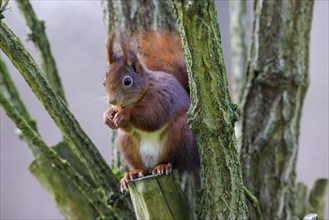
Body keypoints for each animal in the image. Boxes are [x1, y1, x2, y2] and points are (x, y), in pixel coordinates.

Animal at [102, 31, 200, 191]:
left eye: (127, 81)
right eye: (104, 82)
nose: (112, 101)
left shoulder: (160, 99)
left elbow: (150, 118)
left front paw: (124, 115)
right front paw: (108, 115)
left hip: (177, 136)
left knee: (174, 161)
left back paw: (163, 166)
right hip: (127, 143)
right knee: (141, 167)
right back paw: (133, 173)